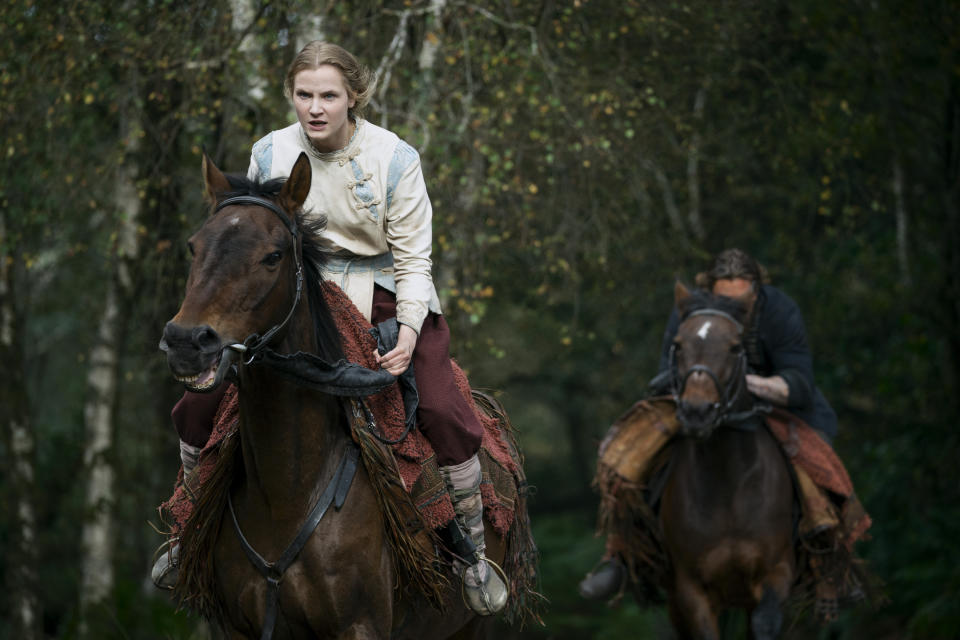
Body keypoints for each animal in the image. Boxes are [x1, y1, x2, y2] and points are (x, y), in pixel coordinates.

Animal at [162, 152, 528, 636]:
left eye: (273, 256)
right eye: (194, 247)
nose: (187, 342)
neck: (288, 492)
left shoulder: (361, 625)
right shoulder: (239, 628)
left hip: (472, 626)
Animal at [660, 284, 796, 640]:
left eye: (735, 347)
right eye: (678, 345)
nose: (697, 411)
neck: (727, 482)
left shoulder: (777, 571)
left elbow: (765, 623)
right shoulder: (691, 590)